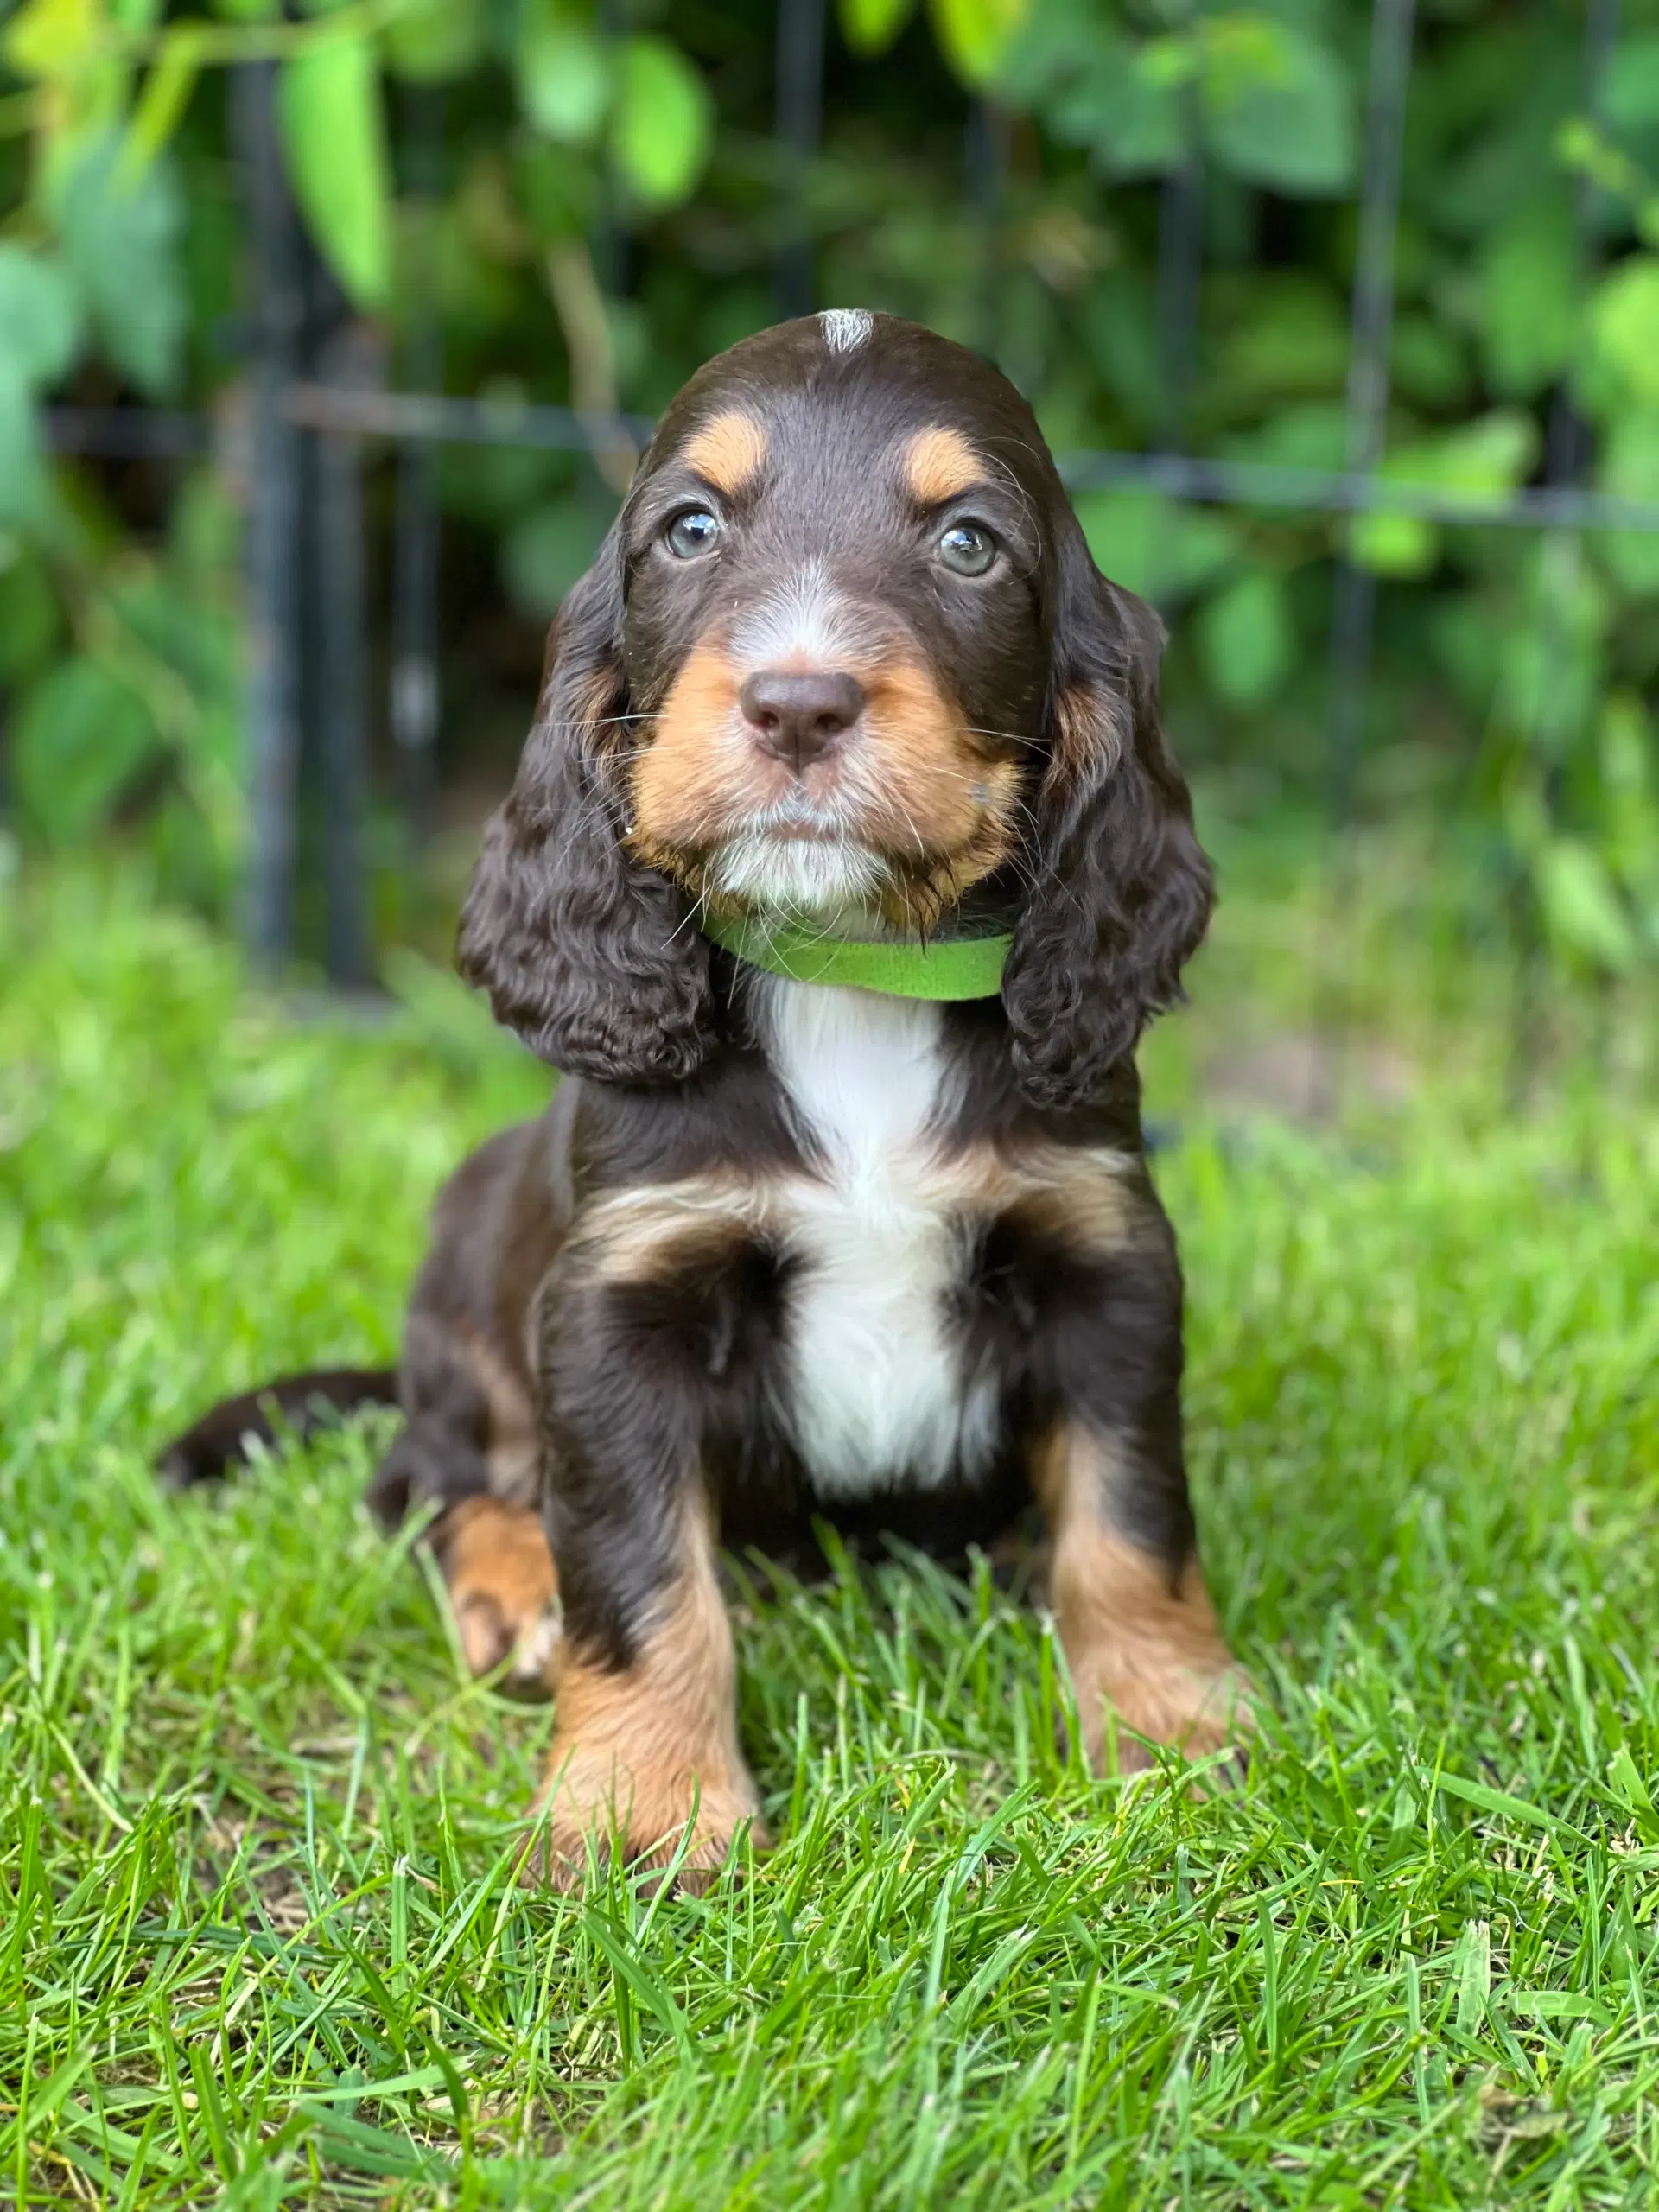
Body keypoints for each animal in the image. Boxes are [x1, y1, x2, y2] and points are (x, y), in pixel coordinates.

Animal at [168, 316, 1256, 1885]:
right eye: (689, 530)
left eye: (971, 545)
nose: (798, 701)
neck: (850, 970)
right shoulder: (619, 1305)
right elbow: (636, 1569)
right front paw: (645, 1806)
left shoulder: (1104, 1259)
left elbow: (1131, 1517)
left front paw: (1170, 1730)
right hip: (469, 1271)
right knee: (428, 1477)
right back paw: (512, 1590)